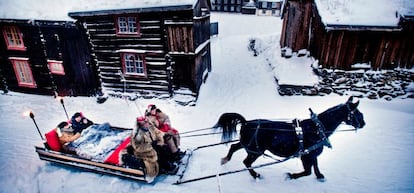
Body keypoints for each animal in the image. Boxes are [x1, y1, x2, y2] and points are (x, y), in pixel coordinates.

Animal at [217, 97, 366, 182]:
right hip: (256, 151)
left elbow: (316, 166)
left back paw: (225, 159)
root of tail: (246, 122)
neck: (317, 129)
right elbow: (307, 171)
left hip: (248, 145)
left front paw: (319, 176)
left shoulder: (311, 154)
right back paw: (256, 176)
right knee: (246, 162)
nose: (364, 124)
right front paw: (291, 176)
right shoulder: (305, 156)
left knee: (234, 147)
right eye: (358, 113)